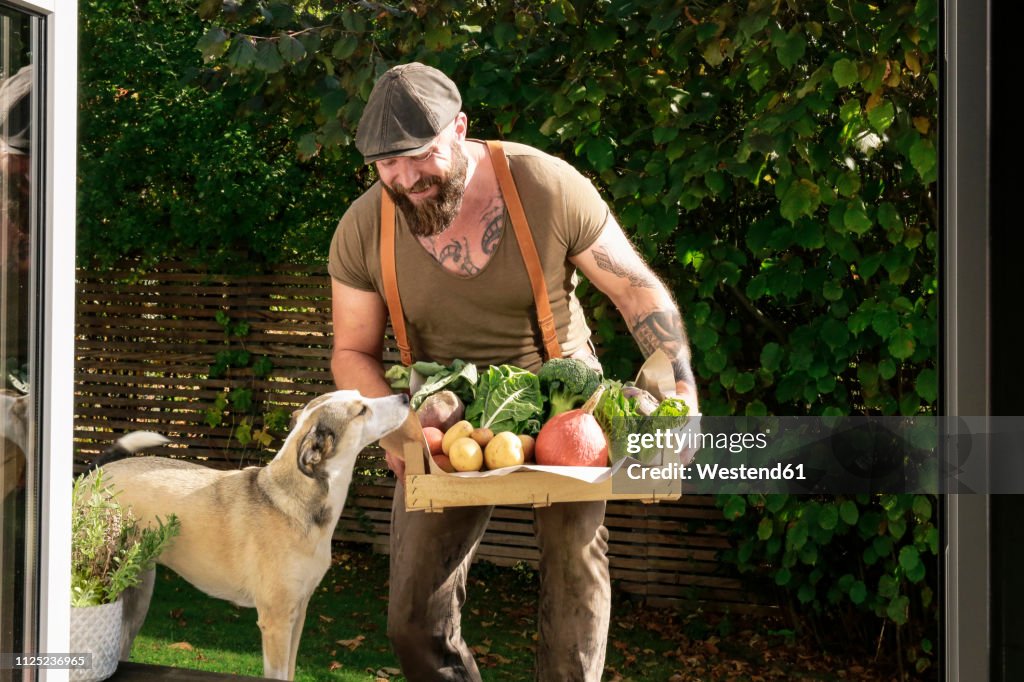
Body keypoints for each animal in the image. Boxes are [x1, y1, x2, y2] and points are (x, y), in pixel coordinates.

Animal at [93, 391, 411, 675]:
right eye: (361, 410)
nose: (406, 396)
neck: (294, 502)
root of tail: (96, 473)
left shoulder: (298, 613)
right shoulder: (276, 620)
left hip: (137, 595)